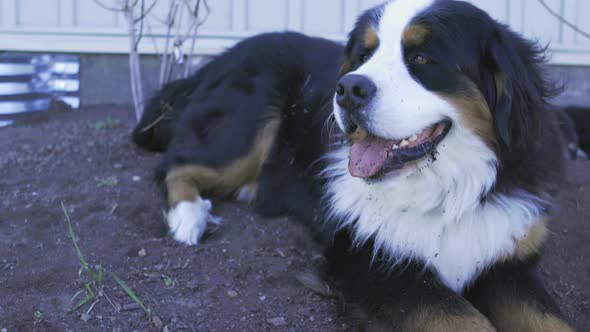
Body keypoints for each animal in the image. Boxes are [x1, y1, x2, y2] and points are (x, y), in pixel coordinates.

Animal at [133, 1, 572, 330]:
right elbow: (464, 320)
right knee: (175, 165)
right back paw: (189, 217)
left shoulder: (508, 262)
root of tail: (218, 57)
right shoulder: (373, 263)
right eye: (364, 55)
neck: (446, 192)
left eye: (422, 57)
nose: (348, 89)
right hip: (248, 123)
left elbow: (550, 320)